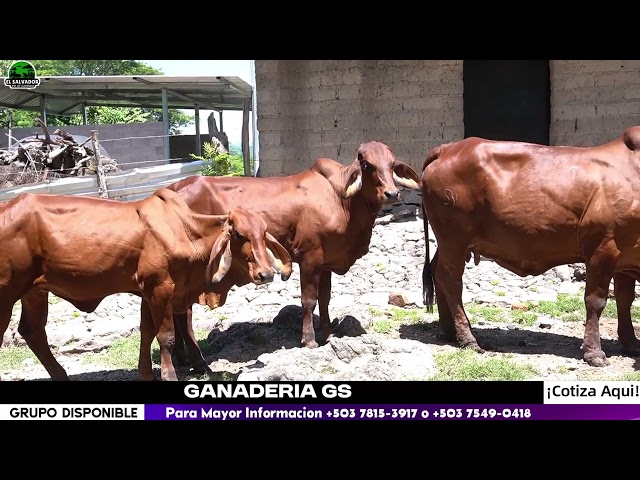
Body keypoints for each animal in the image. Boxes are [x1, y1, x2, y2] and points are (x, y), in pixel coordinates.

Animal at [0, 188, 292, 381]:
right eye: (239, 234)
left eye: (263, 233)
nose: (266, 274)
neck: (186, 231)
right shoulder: (160, 289)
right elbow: (166, 336)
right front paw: (169, 375)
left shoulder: (153, 293)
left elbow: (146, 332)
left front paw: (147, 373)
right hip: (7, 292)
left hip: (34, 291)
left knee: (33, 332)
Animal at [164, 141, 422, 366]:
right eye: (367, 165)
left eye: (392, 164)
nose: (391, 194)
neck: (342, 202)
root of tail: (173, 188)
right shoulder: (310, 258)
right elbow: (309, 300)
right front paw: (309, 340)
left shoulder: (326, 261)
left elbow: (325, 298)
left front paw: (326, 333)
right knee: (184, 313)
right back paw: (192, 359)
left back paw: (182, 357)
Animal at [420, 127, 640, 368]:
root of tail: (447, 149)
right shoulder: (603, 247)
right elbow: (596, 301)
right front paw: (594, 353)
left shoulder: (626, 258)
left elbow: (625, 299)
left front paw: (631, 343)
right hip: (454, 239)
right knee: (451, 280)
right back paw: (468, 338)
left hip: (450, 244)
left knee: (437, 272)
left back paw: (450, 331)